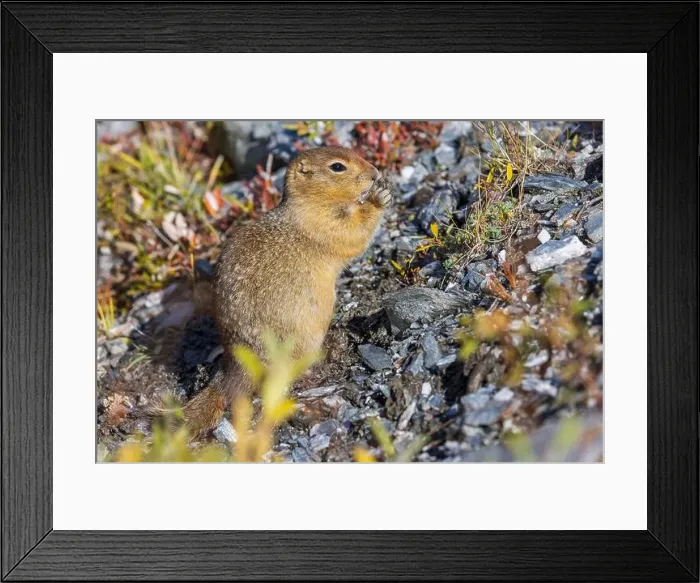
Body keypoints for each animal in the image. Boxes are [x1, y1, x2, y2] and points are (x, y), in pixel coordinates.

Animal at [182, 147, 392, 436]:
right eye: (337, 167)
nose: (375, 173)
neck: (309, 203)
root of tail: (235, 368)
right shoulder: (325, 223)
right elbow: (353, 231)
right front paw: (379, 198)